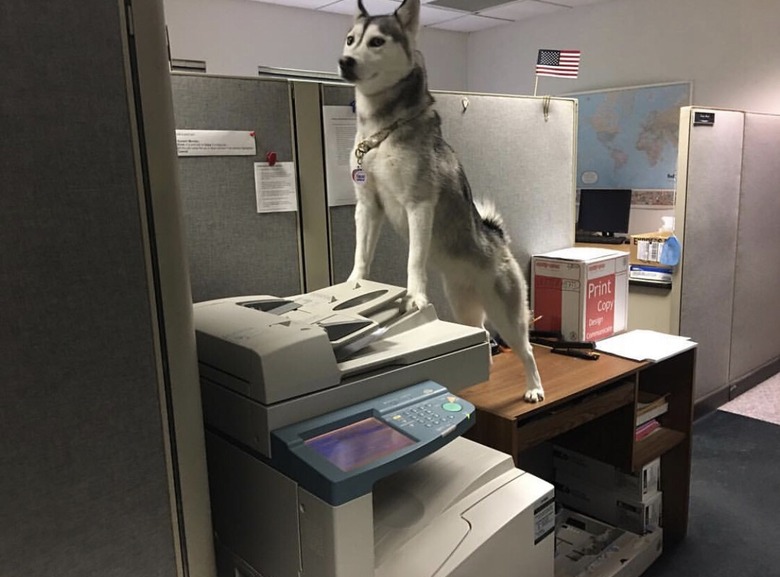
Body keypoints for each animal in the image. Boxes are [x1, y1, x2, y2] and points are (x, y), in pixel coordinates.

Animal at [338, 0, 544, 400]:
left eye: (377, 41)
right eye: (351, 39)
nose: (345, 62)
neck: (380, 132)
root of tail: (496, 237)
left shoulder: (419, 205)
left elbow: (414, 260)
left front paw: (416, 297)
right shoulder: (368, 205)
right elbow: (360, 253)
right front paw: (355, 284)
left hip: (509, 315)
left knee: (527, 351)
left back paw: (533, 388)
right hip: (464, 308)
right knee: (480, 335)